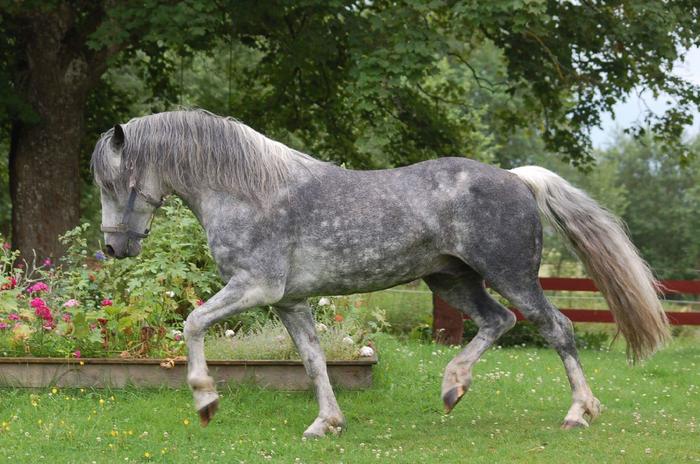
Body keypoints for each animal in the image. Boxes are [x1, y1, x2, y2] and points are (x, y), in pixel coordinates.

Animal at [90, 110, 668, 436]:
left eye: (111, 182)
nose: (113, 246)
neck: (249, 191)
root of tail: (516, 178)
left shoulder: (254, 287)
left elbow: (192, 324)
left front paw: (206, 401)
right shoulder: (288, 301)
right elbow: (313, 360)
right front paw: (326, 423)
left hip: (512, 276)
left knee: (557, 329)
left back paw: (579, 412)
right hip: (452, 280)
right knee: (497, 322)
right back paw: (453, 387)